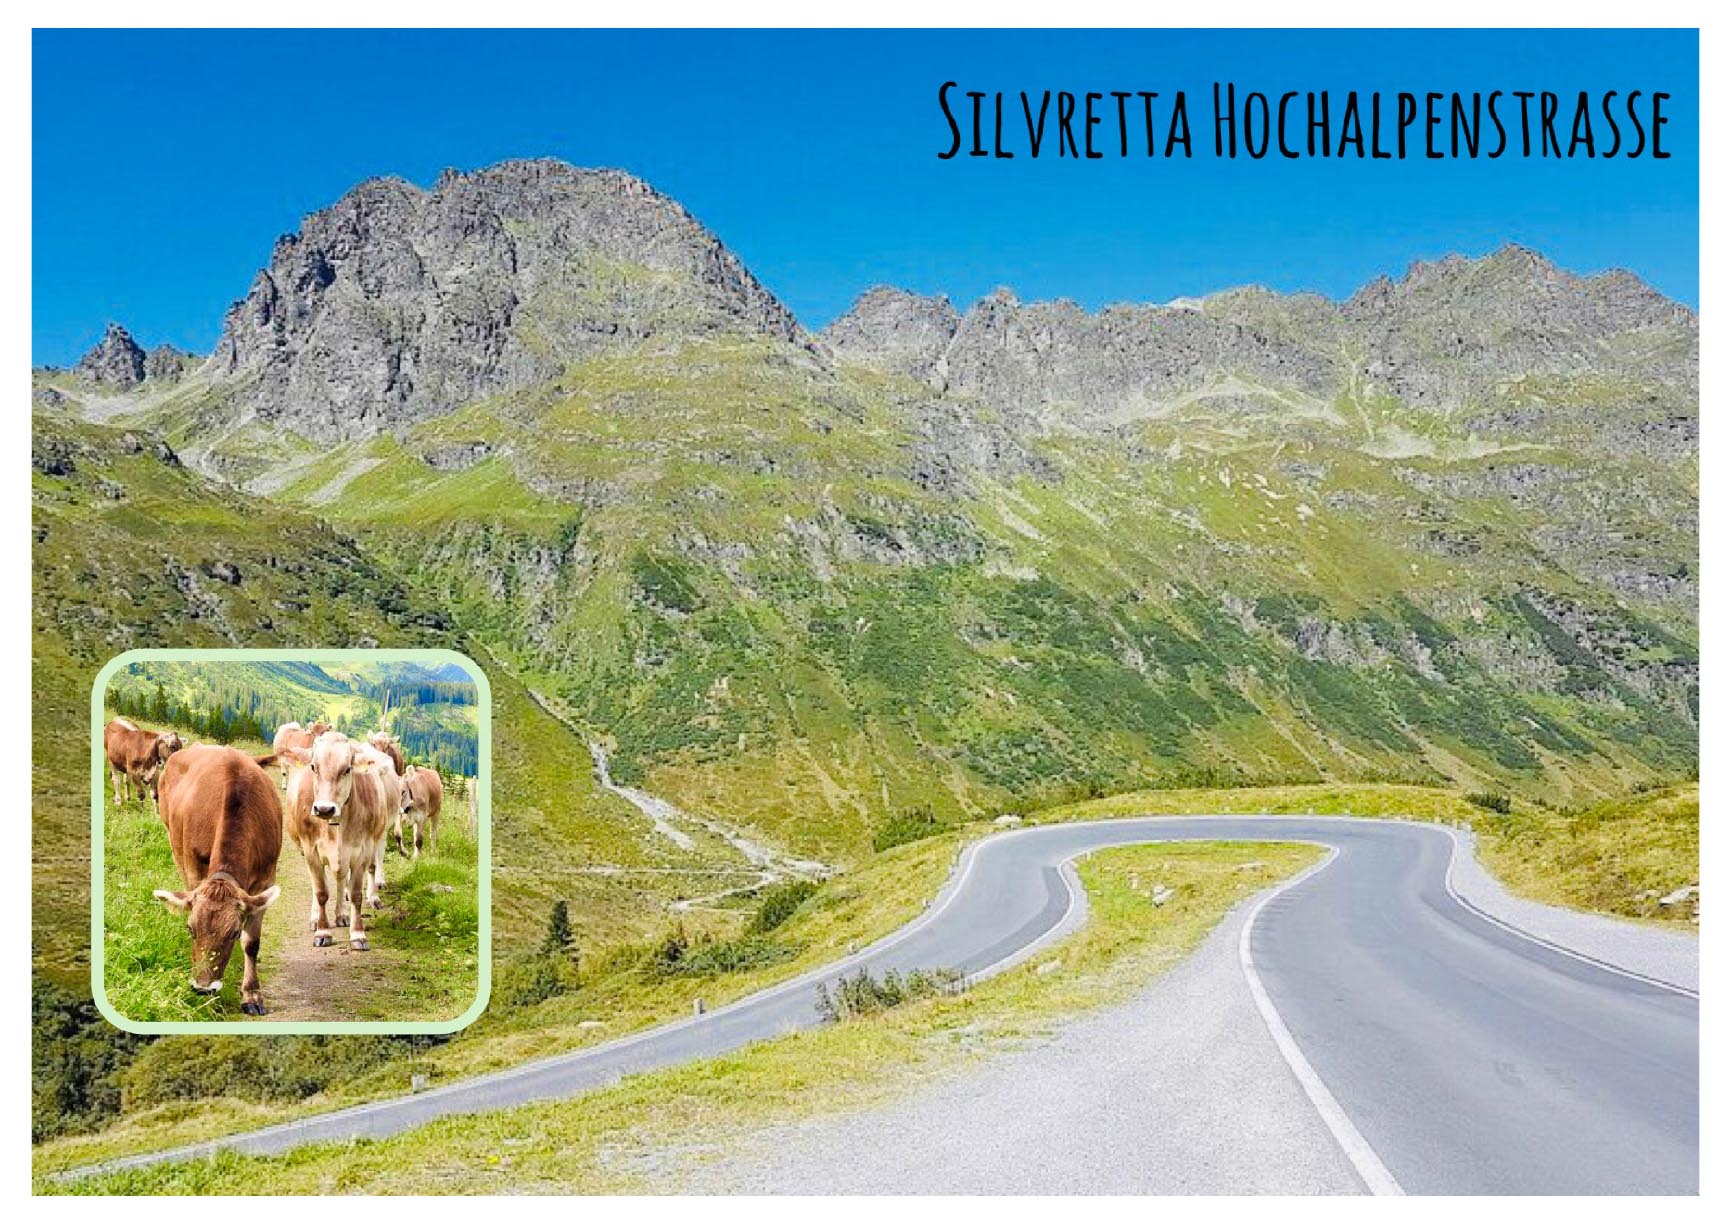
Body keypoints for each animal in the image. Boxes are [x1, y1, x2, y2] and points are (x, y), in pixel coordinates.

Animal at [151, 746, 283, 1016]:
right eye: (190, 928)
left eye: (233, 933)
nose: (203, 988)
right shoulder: (193, 869)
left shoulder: (265, 880)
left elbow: (252, 943)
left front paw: (251, 994)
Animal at [286, 729, 400, 953]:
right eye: (313, 767)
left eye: (347, 769)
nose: (324, 809)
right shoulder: (311, 850)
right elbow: (321, 892)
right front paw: (323, 932)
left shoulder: (362, 851)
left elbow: (355, 893)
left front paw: (358, 934)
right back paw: (316, 918)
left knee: (342, 878)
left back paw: (342, 914)